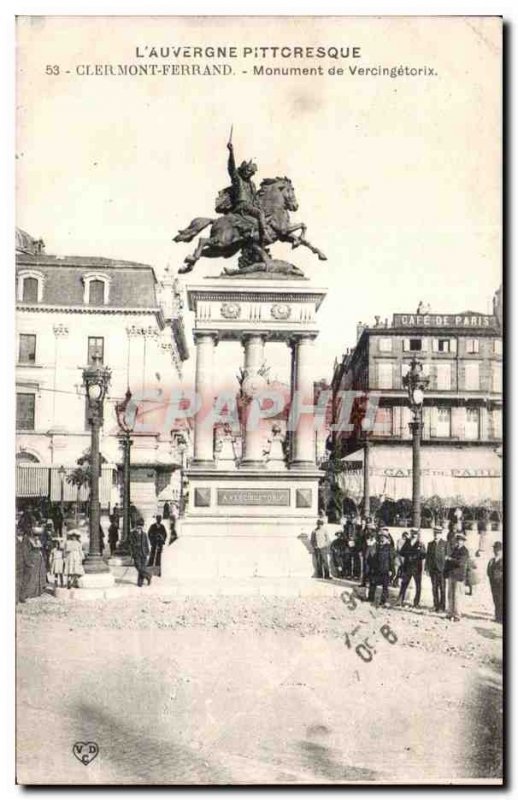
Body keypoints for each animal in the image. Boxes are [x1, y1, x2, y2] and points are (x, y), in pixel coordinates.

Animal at [177, 177, 328, 274]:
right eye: (291, 189)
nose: (295, 206)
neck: (274, 208)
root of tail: (215, 220)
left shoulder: (283, 235)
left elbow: (306, 241)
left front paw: (320, 254)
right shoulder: (283, 229)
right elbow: (303, 225)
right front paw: (297, 242)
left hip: (223, 250)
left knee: (205, 250)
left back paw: (187, 265)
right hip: (223, 241)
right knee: (202, 240)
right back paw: (192, 258)